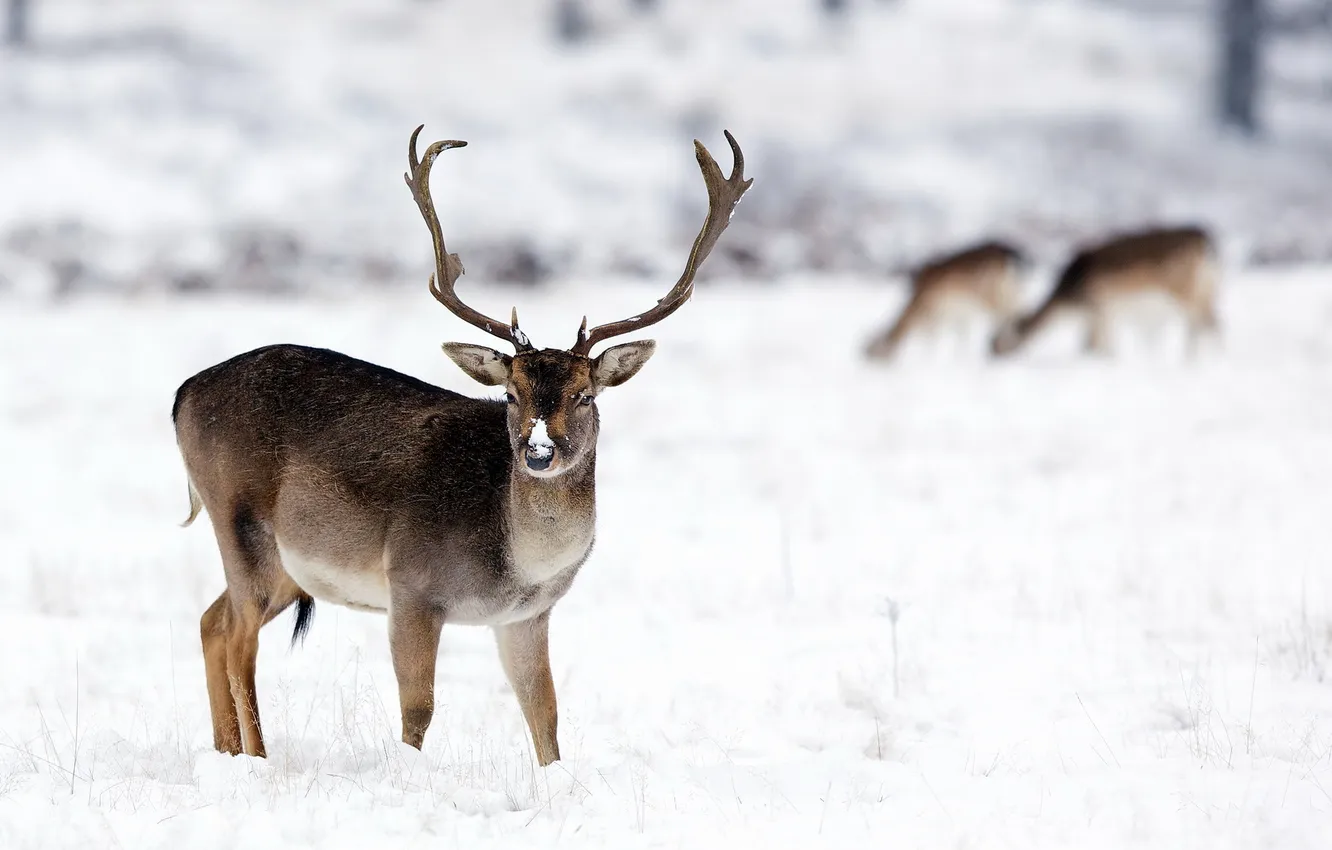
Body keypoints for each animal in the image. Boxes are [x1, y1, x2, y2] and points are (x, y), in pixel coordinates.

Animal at [172, 126, 751, 766]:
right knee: (239, 639)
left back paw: (225, 753)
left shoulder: (527, 616)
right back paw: (258, 758)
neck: (519, 563)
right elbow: (419, 709)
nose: (538, 452)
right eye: (510, 393)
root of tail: (183, 393)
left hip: (284, 570)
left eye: (583, 394)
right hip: (241, 521)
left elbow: (546, 718)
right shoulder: (412, 586)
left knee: (211, 621)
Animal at [864, 240, 1025, 360]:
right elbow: (961, 338)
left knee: (1009, 312)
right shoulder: (957, 316)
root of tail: (1007, 258)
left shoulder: (935, 318)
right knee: (1017, 307)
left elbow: (932, 342)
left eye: (871, 350)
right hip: (1009, 290)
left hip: (992, 295)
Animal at [990, 226, 1219, 358]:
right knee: (1210, 323)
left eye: (997, 344)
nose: (989, 357)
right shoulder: (1098, 316)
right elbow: (1094, 346)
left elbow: (1096, 347)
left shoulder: (1099, 309)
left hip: (1186, 292)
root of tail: (1206, 241)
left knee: (1207, 324)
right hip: (1208, 288)